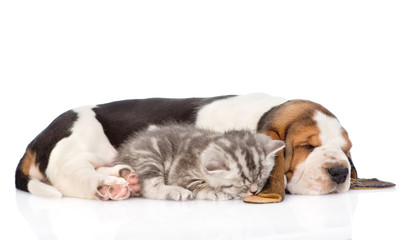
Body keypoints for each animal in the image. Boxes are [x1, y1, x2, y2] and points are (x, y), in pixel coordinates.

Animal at [115, 124, 282, 201]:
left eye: (260, 178)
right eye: (240, 184)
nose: (253, 191)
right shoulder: (180, 172)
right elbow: (198, 185)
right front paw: (216, 192)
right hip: (149, 157)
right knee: (149, 186)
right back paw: (176, 191)